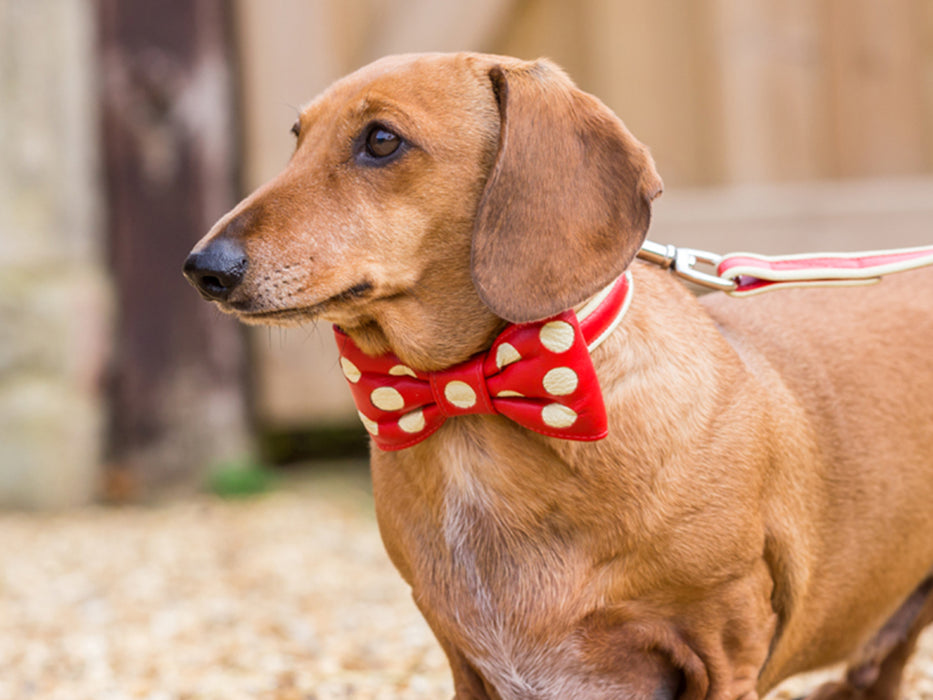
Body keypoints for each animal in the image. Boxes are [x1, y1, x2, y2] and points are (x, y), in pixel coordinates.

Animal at [186, 52, 932, 696]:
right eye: (297, 138)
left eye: (381, 140)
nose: (203, 269)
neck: (476, 410)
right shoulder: (467, 663)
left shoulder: (724, 650)